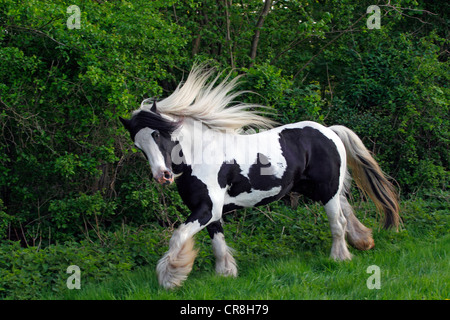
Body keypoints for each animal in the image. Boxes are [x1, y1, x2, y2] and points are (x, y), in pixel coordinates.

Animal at [119, 65, 400, 290]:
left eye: (158, 134)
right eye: (138, 145)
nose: (162, 176)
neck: (201, 155)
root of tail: (329, 131)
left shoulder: (207, 208)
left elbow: (178, 236)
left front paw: (170, 278)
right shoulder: (210, 211)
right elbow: (217, 242)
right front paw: (225, 274)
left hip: (327, 190)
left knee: (338, 222)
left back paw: (340, 257)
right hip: (322, 189)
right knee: (346, 211)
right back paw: (364, 242)